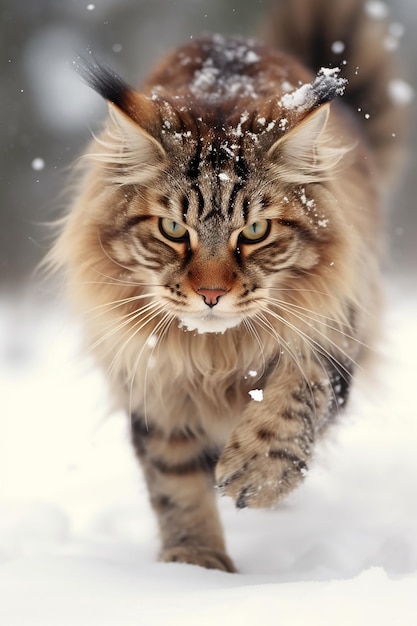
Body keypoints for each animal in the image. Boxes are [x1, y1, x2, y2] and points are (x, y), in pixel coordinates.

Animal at [48, 0, 406, 572]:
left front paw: (256, 473)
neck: (215, 356)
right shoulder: (155, 384)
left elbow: (297, 394)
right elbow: (174, 482)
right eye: (173, 230)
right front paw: (195, 565)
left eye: (255, 231)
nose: (211, 294)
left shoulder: (332, 332)